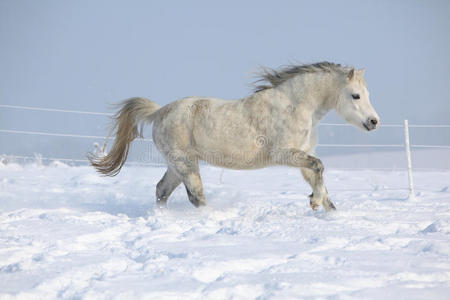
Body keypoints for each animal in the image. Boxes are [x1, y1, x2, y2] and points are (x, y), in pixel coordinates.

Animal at [89, 61, 380, 211]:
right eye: (355, 95)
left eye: (367, 94)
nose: (373, 122)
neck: (295, 105)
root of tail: (160, 111)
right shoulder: (284, 154)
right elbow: (320, 167)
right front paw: (314, 203)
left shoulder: (304, 155)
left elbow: (320, 179)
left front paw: (326, 210)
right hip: (185, 163)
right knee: (196, 196)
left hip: (176, 164)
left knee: (161, 190)